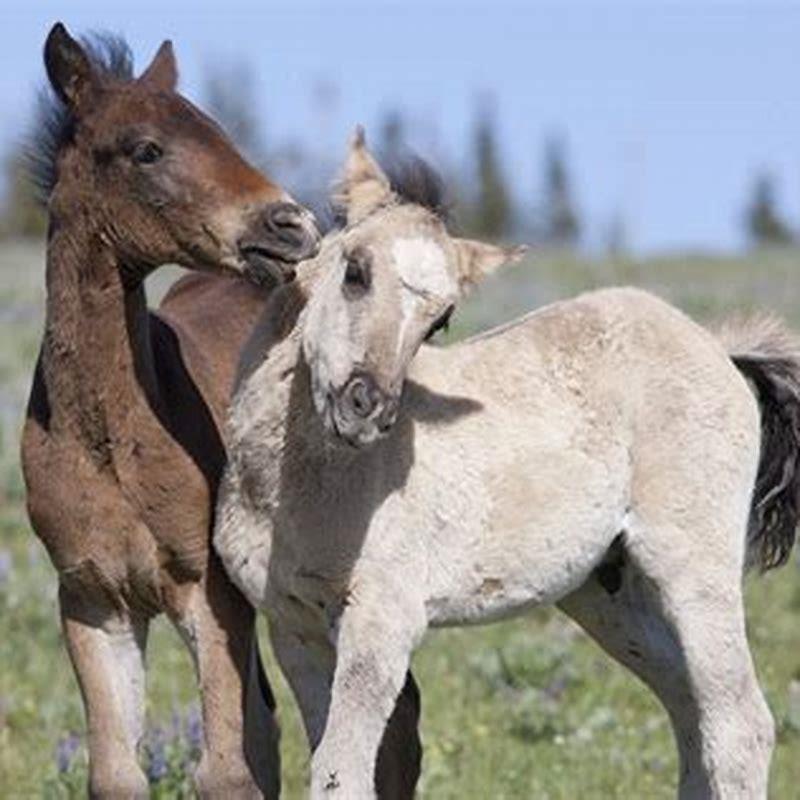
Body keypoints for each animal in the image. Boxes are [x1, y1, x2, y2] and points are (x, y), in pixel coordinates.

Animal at [216, 133, 800, 800]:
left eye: (440, 319)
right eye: (356, 271)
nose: (368, 407)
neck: (295, 486)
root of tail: (719, 349)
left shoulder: (380, 624)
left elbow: (343, 773)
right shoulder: (295, 629)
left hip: (692, 565)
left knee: (740, 723)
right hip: (612, 594)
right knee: (689, 708)